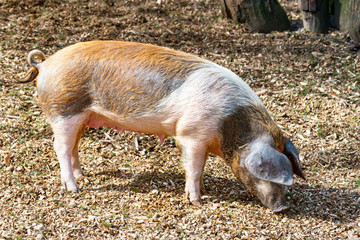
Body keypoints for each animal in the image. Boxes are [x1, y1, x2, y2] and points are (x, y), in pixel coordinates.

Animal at [21, 40, 306, 212]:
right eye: (260, 172)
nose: (282, 207)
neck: (228, 126)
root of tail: (45, 63)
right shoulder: (190, 134)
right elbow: (193, 167)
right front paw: (197, 201)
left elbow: (200, 168)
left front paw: (205, 189)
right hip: (63, 111)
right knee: (59, 147)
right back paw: (74, 188)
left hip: (82, 118)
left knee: (73, 147)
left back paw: (83, 176)